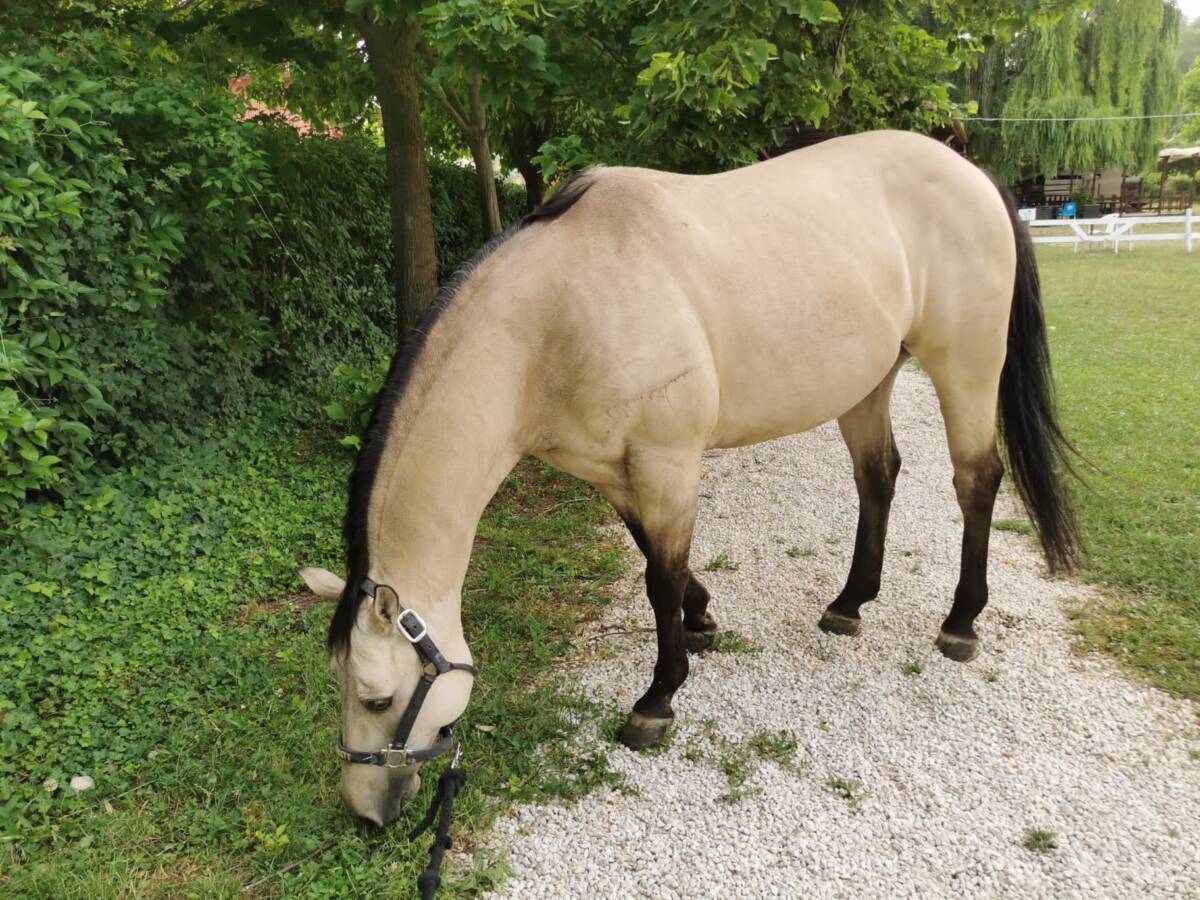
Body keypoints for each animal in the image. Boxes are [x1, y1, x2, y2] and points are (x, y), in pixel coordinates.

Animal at [298, 130, 1079, 826]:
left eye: (376, 699)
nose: (364, 813)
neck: (557, 319)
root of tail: (974, 176)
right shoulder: (615, 469)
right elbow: (656, 558)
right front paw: (700, 621)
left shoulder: (667, 459)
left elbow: (660, 579)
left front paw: (657, 699)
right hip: (870, 379)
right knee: (877, 476)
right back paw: (850, 603)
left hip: (964, 367)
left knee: (975, 480)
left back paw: (960, 621)